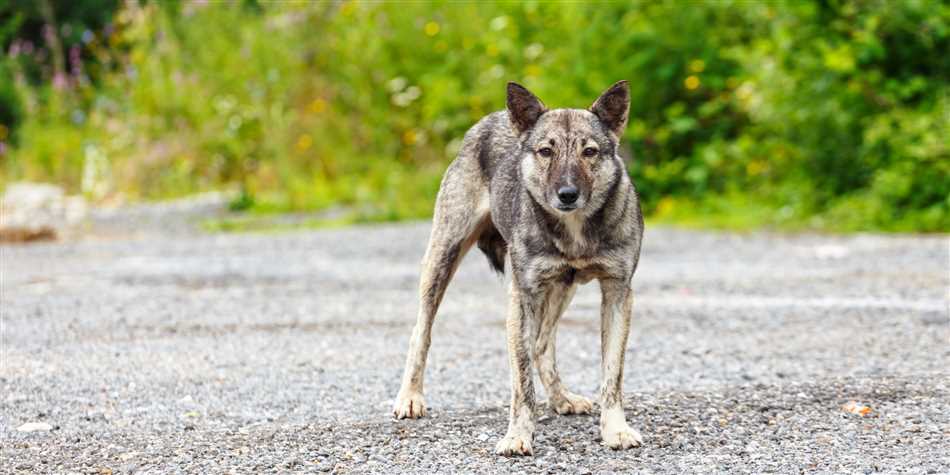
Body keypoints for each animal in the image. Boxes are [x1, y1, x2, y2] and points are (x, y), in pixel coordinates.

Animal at [390, 82, 644, 458]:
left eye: (590, 152)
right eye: (545, 151)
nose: (567, 194)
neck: (574, 228)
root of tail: (490, 119)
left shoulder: (616, 293)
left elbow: (612, 375)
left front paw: (615, 429)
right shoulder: (523, 297)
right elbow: (522, 384)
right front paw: (518, 436)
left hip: (562, 288)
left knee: (542, 345)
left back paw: (561, 398)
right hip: (442, 258)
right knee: (421, 332)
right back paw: (410, 397)